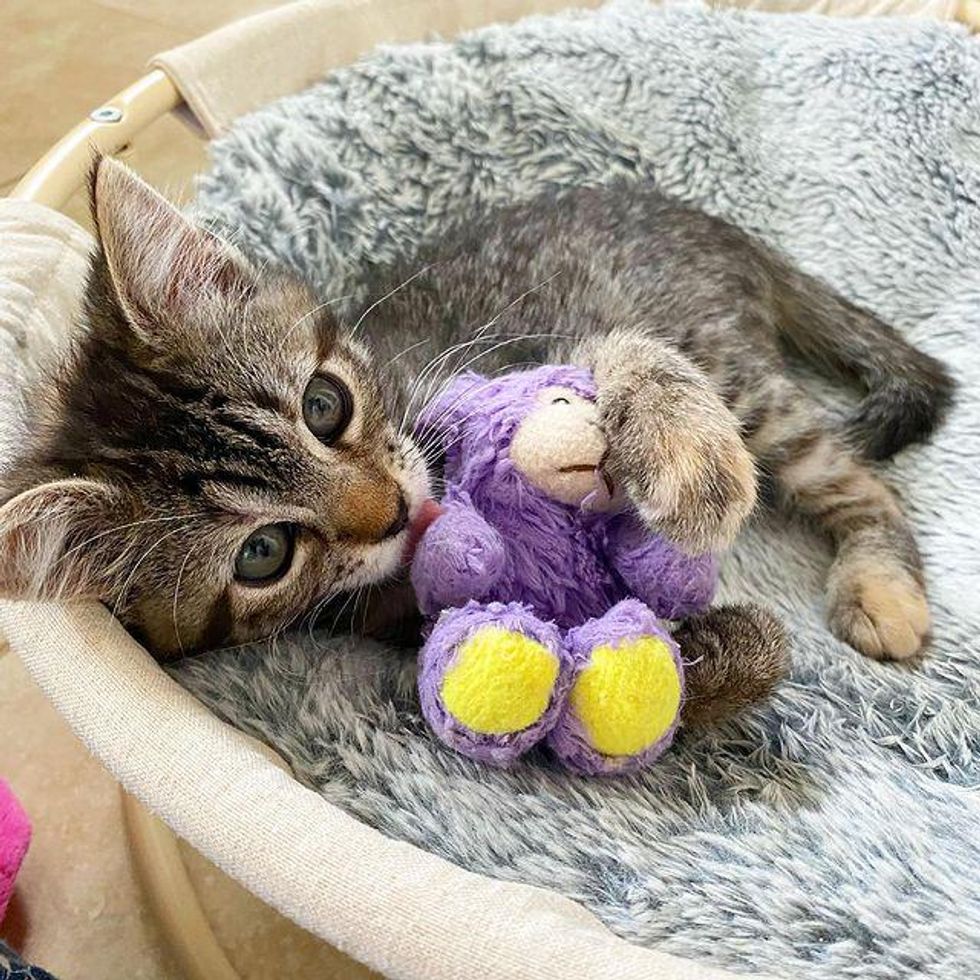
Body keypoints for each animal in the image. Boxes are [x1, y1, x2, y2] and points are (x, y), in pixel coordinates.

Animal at [0, 161, 952, 668]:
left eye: (324, 405)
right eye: (262, 554)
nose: (393, 511)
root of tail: (715, 226)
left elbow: (617, 354)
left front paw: (686, 457)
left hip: (738, 370)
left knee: (864, 483)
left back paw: (880, 586)